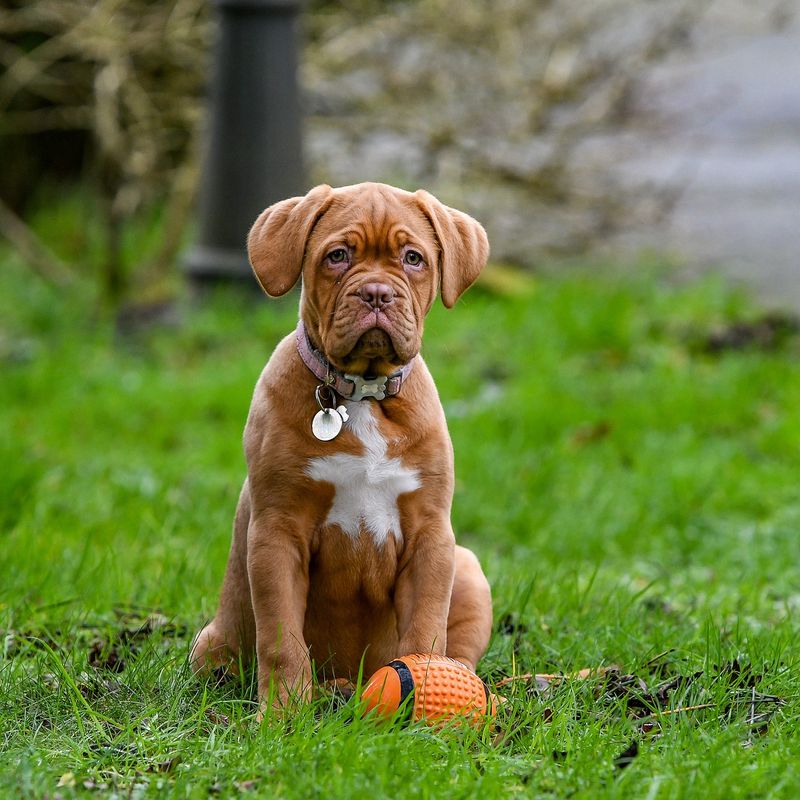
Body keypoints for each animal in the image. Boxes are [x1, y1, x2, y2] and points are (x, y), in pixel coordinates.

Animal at [192, 183, 494, 712]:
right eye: (337, 256)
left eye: (413, 258)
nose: (376, 293)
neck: (362, 395)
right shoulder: (277, 534)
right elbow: (282, 639)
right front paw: (282, 716)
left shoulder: (431, 538)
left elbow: (426, 629)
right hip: (210, 643)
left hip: (469, 569)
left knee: (460, 651)